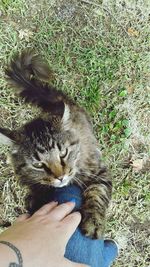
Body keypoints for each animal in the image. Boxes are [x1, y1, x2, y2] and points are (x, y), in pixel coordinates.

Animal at [0, 49, 111, 239]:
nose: (61, 177)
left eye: (63, 153)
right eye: (38, 165)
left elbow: (97, 193)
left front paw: (93, 223)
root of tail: (55, 101)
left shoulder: (100, 172)